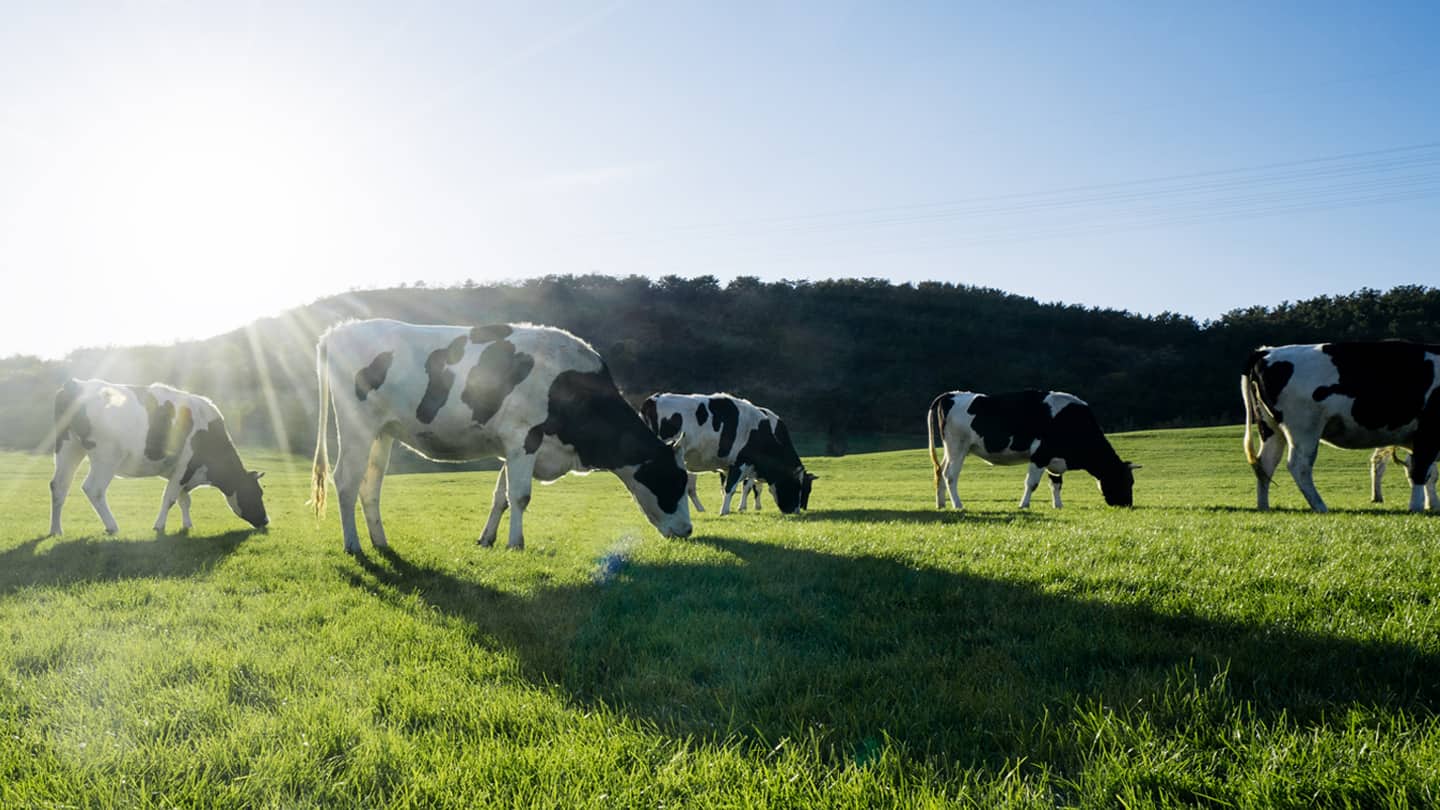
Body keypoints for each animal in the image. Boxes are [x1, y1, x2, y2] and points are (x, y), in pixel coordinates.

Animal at [50, 380, 270, 536]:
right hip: (106, 456)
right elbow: (170, 498)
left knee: (59, 485)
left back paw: (56, 530)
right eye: (257, 493)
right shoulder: (184, 466)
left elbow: (184, 500)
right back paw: (112, 527)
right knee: (93, 489)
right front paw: (159, 526)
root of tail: (76, 384)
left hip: (68, 447)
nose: (266, 521)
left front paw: (187, 525)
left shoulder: (182, 473)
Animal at [312, 318, 694, 550]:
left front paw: (487, 539)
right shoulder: (524, 438)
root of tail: (340, 330)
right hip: (356, 427)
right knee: (345, 481)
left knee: (370, 486)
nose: (689, 530)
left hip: (382, 433)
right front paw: (516, 543)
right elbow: (520, 496)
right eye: (674, 481)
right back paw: (353, 545)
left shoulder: (511, 447)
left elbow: (501, 495)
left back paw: (380, 541)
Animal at [639, 392, 817, 510]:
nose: (798, 510)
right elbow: (734, 487)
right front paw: (727, 511)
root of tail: (652, 399)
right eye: (800, 487)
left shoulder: (735, 467)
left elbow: (734, 487)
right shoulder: (741, 462)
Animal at [927, 389, 1140, 507]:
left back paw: (941, 504)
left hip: (950, 449)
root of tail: (951, 394)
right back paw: (958, 505)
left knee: (939, 471)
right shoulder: (1040, 454)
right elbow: (1032, 483)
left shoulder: (1053, 459)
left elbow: (1056, 483)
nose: (1127, 505)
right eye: (1125, 481)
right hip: (957, 447)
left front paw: (1058, 505)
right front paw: (1024, 505)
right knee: (950, 475)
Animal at [1238, 341, 1440, 510]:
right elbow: (1420, 471)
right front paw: (1417, 506)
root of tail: (1266, 351)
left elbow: (1428, 473)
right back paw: (1320, 507)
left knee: (1265, 464)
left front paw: (1431, 504)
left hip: (1271, 428)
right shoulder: (1427, 434)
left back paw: (1264, 506)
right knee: (1299, 466)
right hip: (1304, 428)